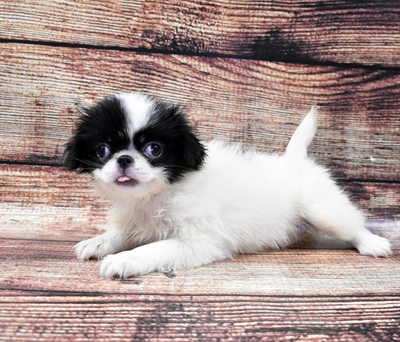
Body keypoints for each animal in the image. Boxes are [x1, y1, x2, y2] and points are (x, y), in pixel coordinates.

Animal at [62, 91, 390, 278]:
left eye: (154, 149)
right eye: (103, 150)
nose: (124, 159)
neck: (155, 196)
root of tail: (295, 160)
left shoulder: (199, 241)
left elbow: (154, 249)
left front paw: (124, 260)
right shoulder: (134, 221)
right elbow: (120, 234)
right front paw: (98, 242)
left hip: (322, 208)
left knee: (352, 225)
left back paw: (372, 243)